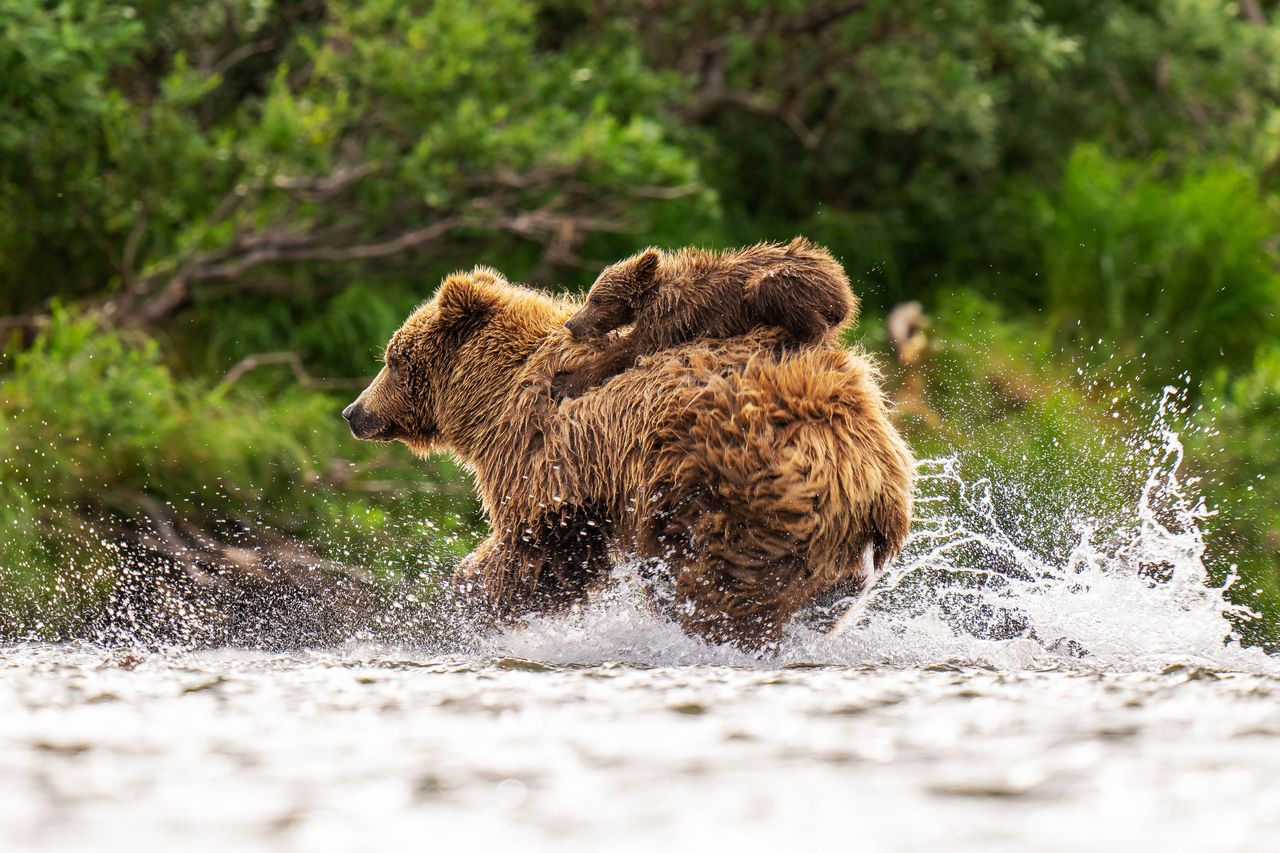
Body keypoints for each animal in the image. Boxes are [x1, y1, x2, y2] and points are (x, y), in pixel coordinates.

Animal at [345, 266, 916, 645]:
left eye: (392, 358)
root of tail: (865, 472)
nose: (354, 411)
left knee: (716, 589)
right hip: (838, 555)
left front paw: (466, 595)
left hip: (724, 494)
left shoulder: (550, 462)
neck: (490, 401)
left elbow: (538, 550)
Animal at [555, 235, 855, 399]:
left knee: (771, 288)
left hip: (789, 281)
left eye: (595, 299)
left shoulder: (671, 318)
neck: (652, 296)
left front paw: (565, 381)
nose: (571, 324)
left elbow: (630, 349)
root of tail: (843, 286)